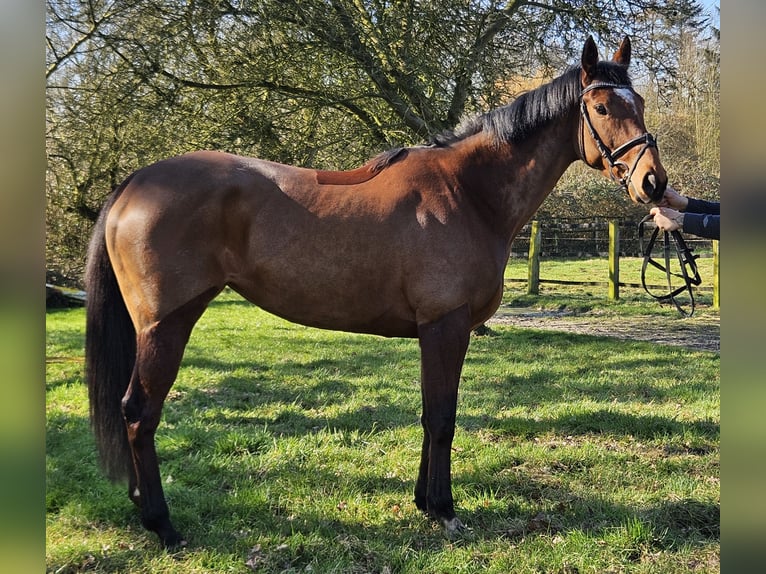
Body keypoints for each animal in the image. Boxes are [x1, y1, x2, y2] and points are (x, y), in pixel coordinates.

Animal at [87, 36, 668, 548]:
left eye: (637, 102)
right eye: (601, 106)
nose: (654, 183)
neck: (468, 192)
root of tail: (134, 183)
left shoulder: (436, 332)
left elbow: (429, 414)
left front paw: (424, 503)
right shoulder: (445, 326)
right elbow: (442, 418)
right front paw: (445, 511)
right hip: (166, 325)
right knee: (139, 411)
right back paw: (163, 526)